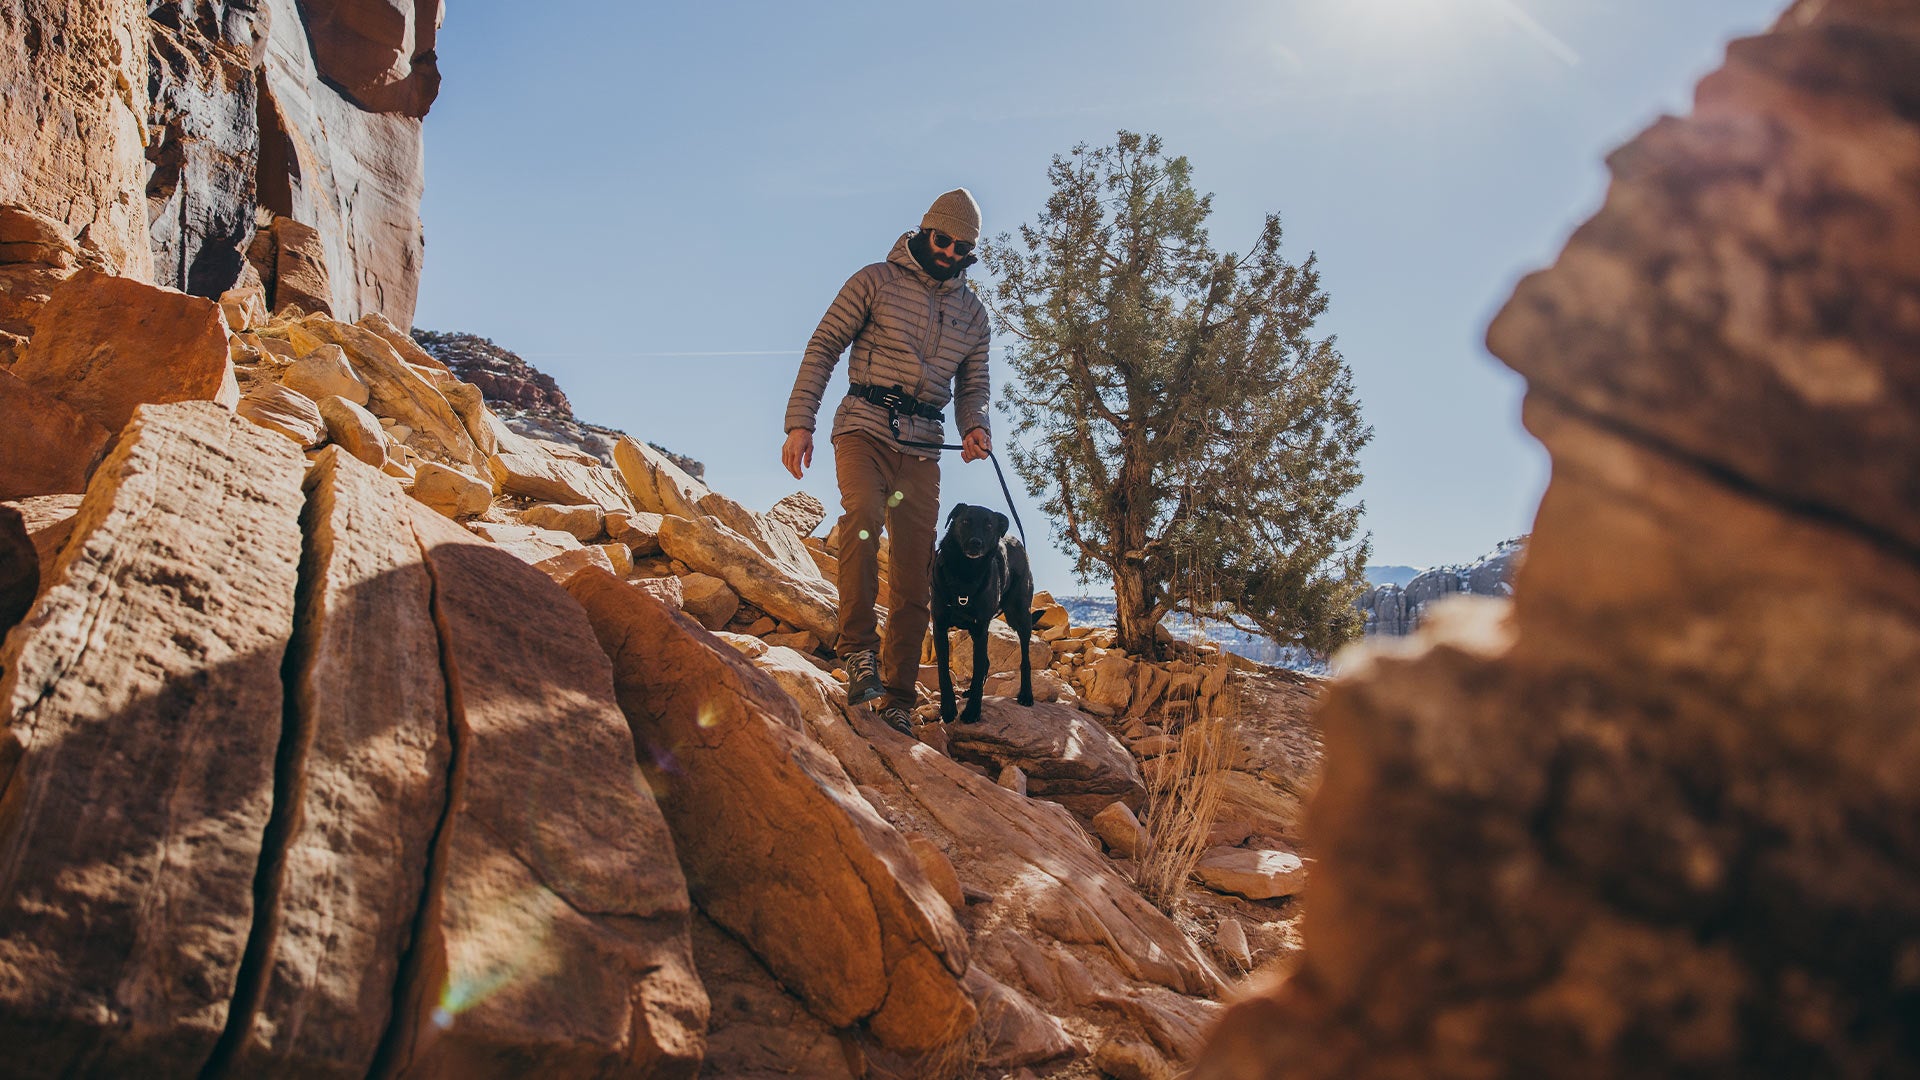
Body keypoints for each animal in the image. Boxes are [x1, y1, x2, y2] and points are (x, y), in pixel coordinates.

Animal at [929, 503, 1036, 722]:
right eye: (965, 521)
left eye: (988, 525)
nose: (975, 543)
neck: (966, 573)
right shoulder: (940, 626)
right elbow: (943, 670)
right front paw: (948, 708)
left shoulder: (980, 628)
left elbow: (978, 671)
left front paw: (972, 711)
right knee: (987, 661)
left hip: (1020, 615)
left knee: (1025, 659)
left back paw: (1026, 694)